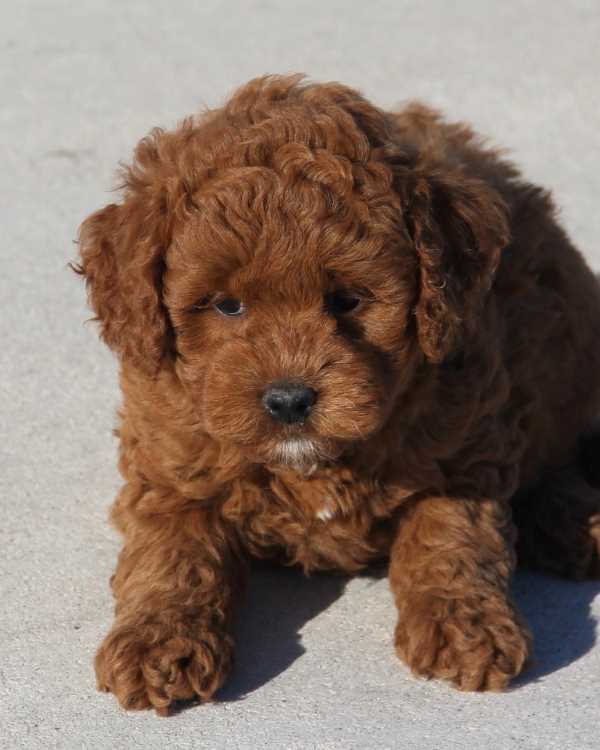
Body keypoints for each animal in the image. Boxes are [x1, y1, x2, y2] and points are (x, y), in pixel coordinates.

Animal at [75, 76, 600, 716]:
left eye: (348, 299)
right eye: (226, 305)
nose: (289, 401)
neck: (316, 467)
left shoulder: (465, 448)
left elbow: (450, 537)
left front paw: (465, 627)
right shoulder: (171, 468)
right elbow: (174, 554)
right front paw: (159, 644)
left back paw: (580, 522)